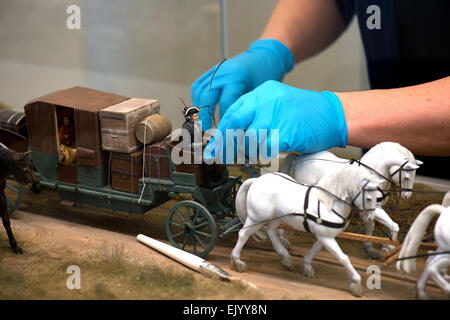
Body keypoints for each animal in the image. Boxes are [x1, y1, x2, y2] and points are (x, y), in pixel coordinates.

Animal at [232, 165, 384, 298]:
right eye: (368, 198)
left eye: (377, 197)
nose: (369, 218)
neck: (327, 204)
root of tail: (257, 180)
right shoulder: (326, 237)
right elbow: (344, 257)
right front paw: (356, 284)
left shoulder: (325, 235)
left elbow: (315, 248)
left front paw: (306, 266)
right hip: (257, 218)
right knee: (243, 234)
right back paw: (237, 261)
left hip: (277, 217)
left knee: (271, 231)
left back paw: (286, 258)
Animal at [282, 142, 422, 260]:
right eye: (406, 177)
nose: (406, 195)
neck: (371, 174)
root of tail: (299, 159)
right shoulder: (373, 208)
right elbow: (394, 226)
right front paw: (388, 247)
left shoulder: (369, 210)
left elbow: (370, 226)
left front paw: (371, 250)